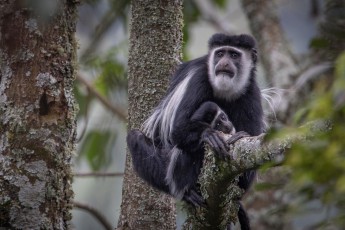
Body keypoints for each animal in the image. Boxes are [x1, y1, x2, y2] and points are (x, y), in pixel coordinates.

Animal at [129, 33, 264, 229]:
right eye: (220, 53)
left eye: (234, 55)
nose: (223, 63)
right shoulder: (199, 79)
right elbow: (177, 130)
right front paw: (208, 135)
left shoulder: (252, 92)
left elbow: (251, 145)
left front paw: (238, 136)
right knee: (137, 138)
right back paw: (188, 193)